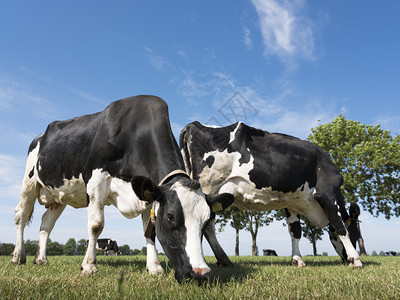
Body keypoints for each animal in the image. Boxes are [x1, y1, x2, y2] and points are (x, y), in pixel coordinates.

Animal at [10, 96, 233, 284]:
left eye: (207, 220)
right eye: (170, 217)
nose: (200, 273)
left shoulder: (147, 193)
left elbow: (149, 230)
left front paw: (154, 267)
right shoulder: (96, 181)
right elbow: (96, 226)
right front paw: (89, 266)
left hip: (58, 197)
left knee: (46, 224)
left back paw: (41, 259)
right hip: (30, 182)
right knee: (21, 215)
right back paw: (18, 256)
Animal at [180, 120, 364, 268]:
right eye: (356, 234)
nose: (345, 259)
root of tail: (192, 124)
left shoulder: (293, 203)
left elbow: (295, 232)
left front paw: (297, 259)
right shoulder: (327, 193)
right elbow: (340, 225)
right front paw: (355, 260)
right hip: (208, 186)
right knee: (205, 223)